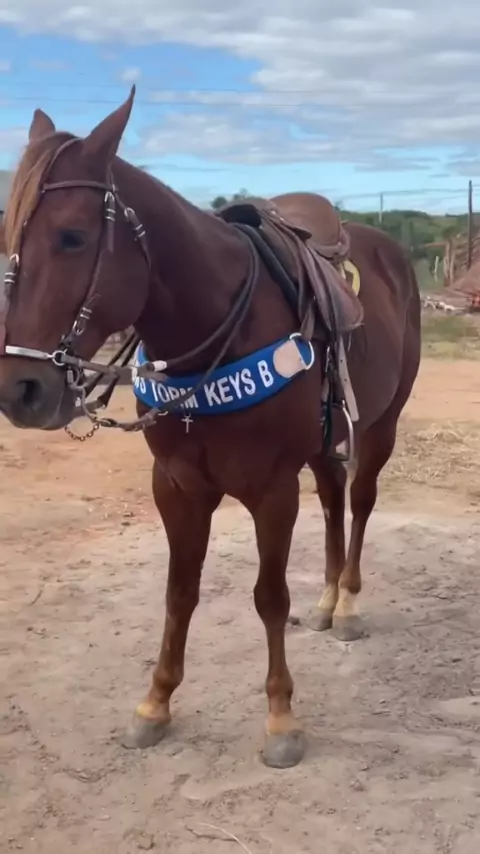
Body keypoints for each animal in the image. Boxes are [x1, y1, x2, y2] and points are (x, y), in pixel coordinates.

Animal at [0, 87, 421, 768]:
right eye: (6, 235)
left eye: (72, 236)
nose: (21, 390)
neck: (218, 330)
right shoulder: (176, 486)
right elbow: (179, 594)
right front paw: (155, 704)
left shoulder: (272, 490)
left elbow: (268, 597)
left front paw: (280, 719)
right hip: (323, 444)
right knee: (334, 501)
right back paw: (328, 600)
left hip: (381, 425)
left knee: (359, 502)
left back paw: (350, 604)